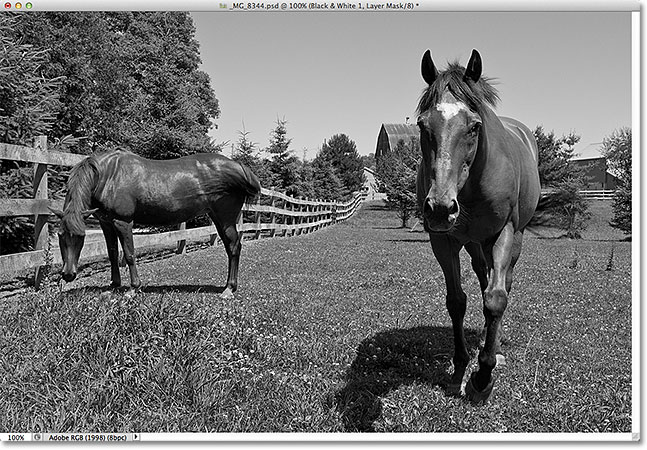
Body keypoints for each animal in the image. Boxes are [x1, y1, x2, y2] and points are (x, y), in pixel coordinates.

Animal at [51, 149, 260, 298]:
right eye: (60, 236)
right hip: (217, 218)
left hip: (225, 218)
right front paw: (114, 286)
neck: (108, 175)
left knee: (234, 247)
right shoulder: (106, 223)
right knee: (232, 247)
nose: (68, 274)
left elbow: (129, 254)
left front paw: (133, 289)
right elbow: (112, 254)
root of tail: (239, 167)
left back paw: (229, 289)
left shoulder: (123, 222)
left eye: (81, 237)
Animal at [416, 50, 540, 404]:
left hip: (513, 239)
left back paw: (493, 345)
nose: (440, 208)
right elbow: (457, 301)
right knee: (484, 277)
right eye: (422, 124)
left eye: (474, 126)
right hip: (474, 244)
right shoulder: (443, 242)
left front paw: (483, 377)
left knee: (501, 284)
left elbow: (496, 299)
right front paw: (460, 367)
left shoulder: (503, 234)